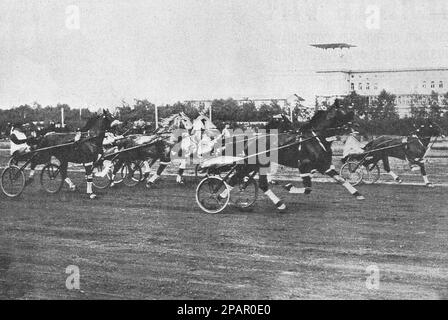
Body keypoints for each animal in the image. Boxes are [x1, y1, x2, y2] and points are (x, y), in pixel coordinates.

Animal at [220, 102, 364, 211]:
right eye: (344, 111)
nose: (358, 123)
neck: (314, 139)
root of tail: (248, 140)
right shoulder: (304, 167)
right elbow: (307, 189)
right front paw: (288, 186)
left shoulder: (325, 166)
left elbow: (341, 180)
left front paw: (358, 195)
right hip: (256, 164)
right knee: (250, 182)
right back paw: (280, 205)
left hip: (255, 165)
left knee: (239, 180)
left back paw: (221, 197)